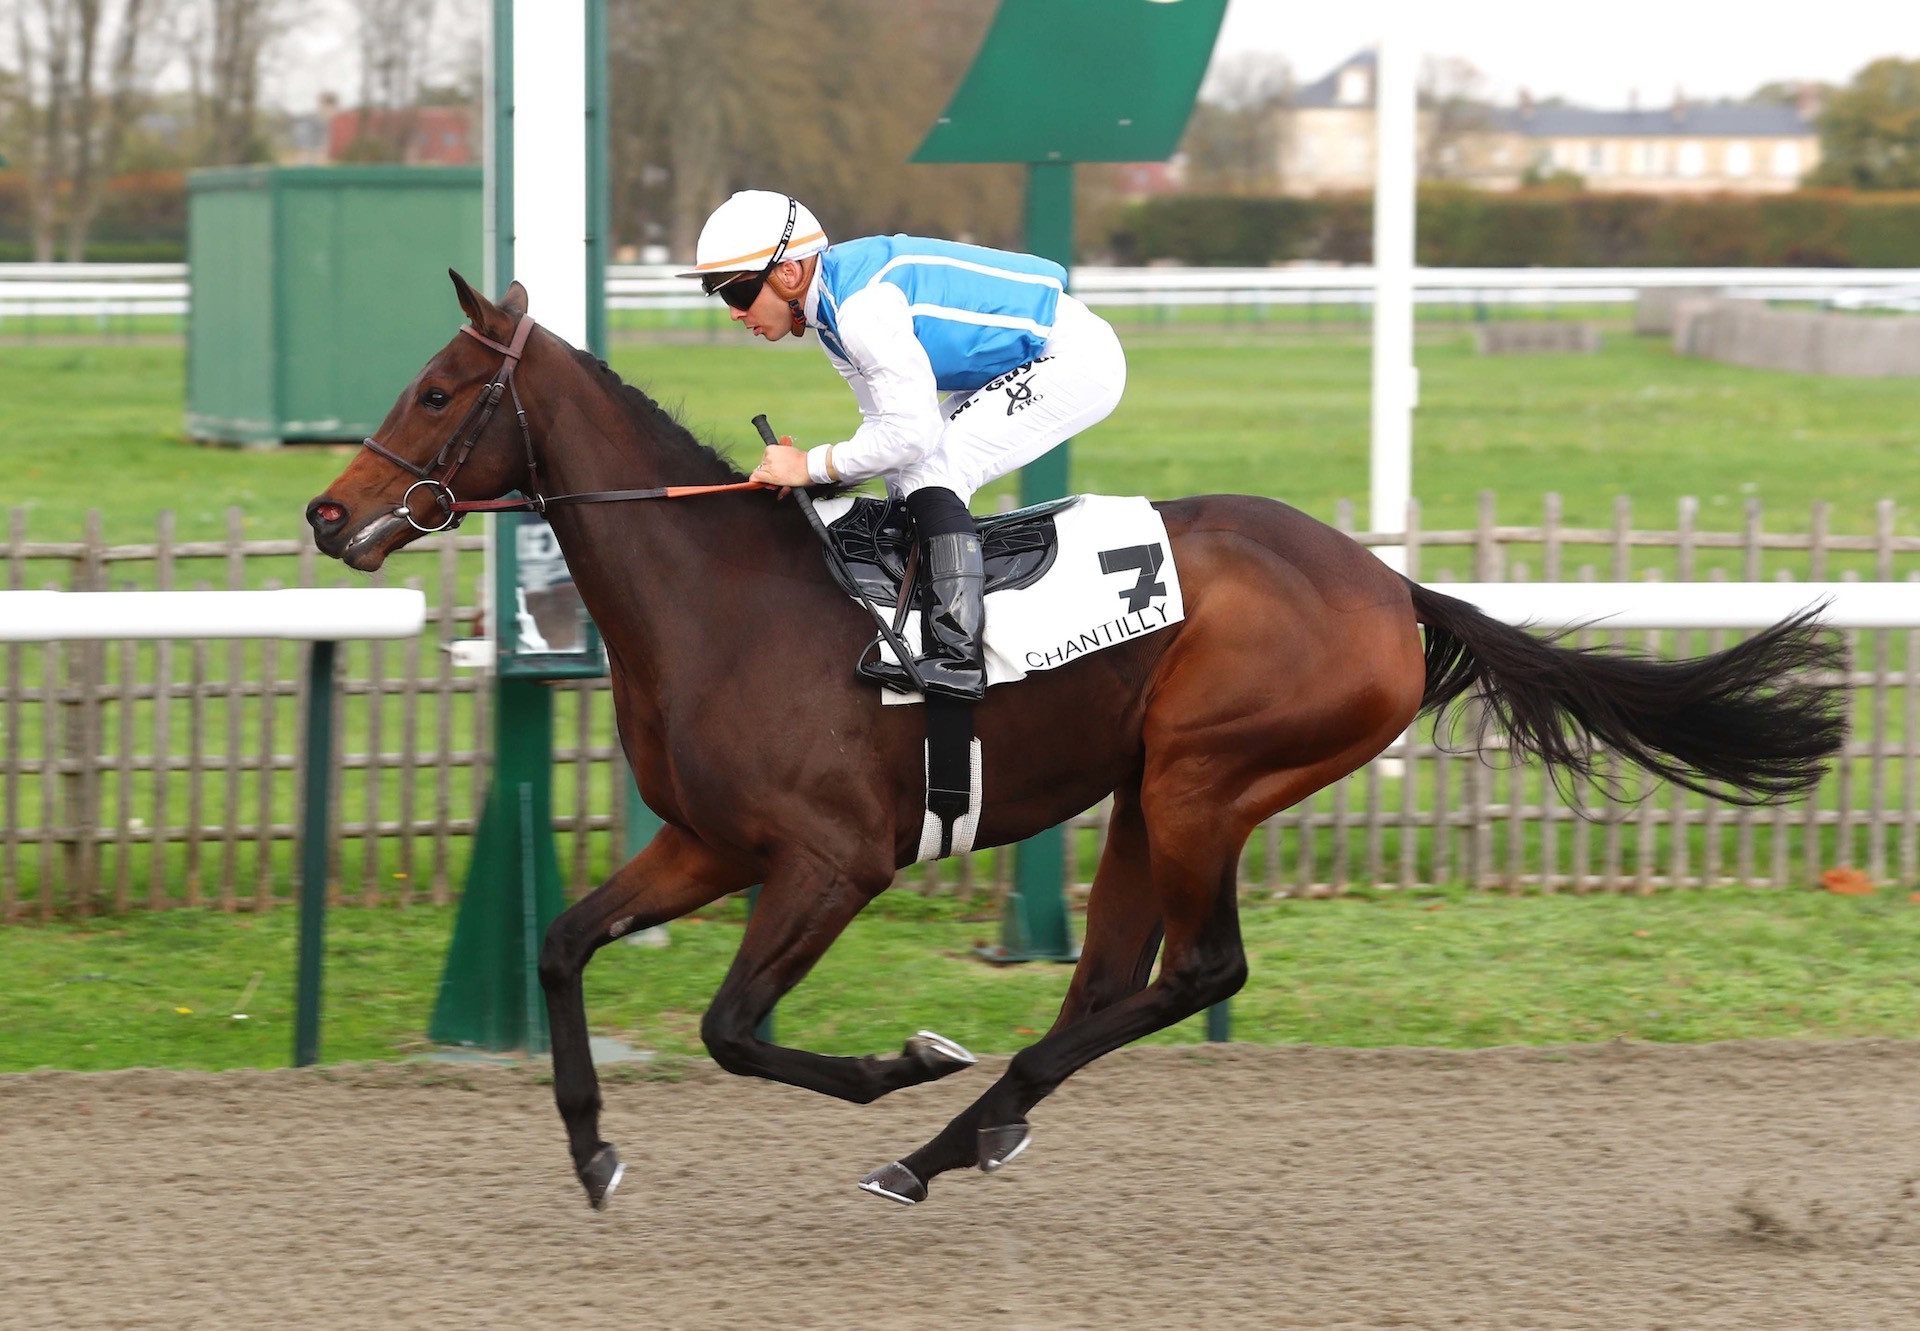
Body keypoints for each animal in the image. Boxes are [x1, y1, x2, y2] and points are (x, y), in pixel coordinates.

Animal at [303, 274, 1843, 1206]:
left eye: (437, 388)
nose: (327, 514)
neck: (723, 597)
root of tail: (1391, 588)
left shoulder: (833, 859)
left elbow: (733, 1026)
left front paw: (905, 1061)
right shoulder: (707, 842)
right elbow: (562, 944)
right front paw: (591, 1147)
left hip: (1209, 775)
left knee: (1197, 968)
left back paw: (943, 1130)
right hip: (1149, 791)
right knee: (1111, 977)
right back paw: (975, 1130)